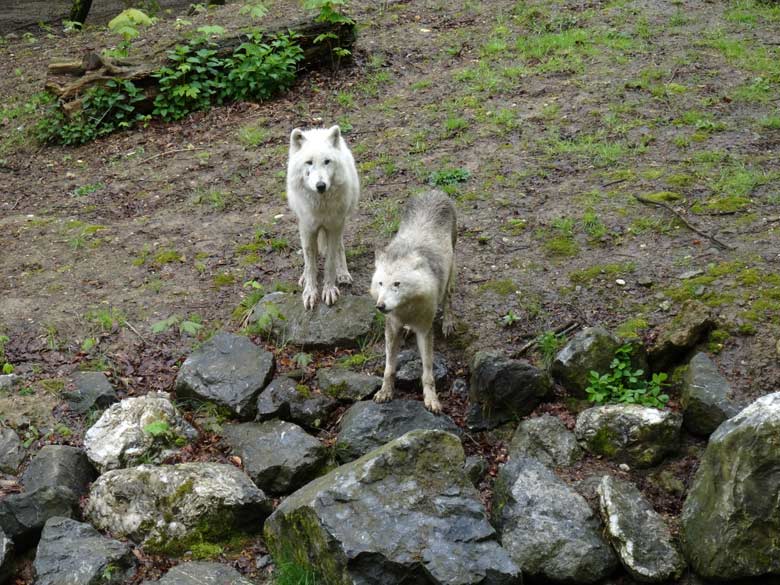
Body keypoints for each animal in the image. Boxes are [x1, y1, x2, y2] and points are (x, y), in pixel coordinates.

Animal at [286, 125, 360, 308]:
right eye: (309, 162)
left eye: (327, 161)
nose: (321, 185)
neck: (320, 206)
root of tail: (317, 129)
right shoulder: (307, 228)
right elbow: (310, 262)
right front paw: (310, 292)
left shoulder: (334, 227)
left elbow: (330, 262)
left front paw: (329, 290)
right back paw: (304, 277)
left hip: (340, 224)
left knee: (340, 247)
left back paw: (343, 274)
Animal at [372, 190, 458, 410]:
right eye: (380, 284)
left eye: (397, 284)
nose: (380, 306)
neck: (407, 308)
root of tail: (434, 191)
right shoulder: (391, 327)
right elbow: (389, 367)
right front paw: (385, 392)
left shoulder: (425, 330)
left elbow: (427, 371)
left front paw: (431, 400)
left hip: (450, 271)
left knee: (448, 297)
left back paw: (448, 322)